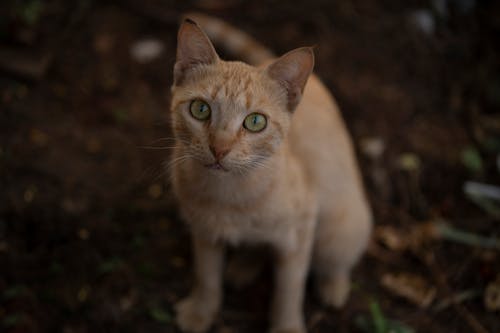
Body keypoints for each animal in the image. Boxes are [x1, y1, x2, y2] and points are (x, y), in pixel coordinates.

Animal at [171, 13, 372, 332]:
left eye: (255, 122)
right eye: (200, 109)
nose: (219, 148)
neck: (229, 195)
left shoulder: (300, 231)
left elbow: (289, 289)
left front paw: (286, 325)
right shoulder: (203, 231)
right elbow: (206, 275)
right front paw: (201, 311)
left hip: (342, 225)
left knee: (337, 257)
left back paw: (333, 285)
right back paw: (243, 265)